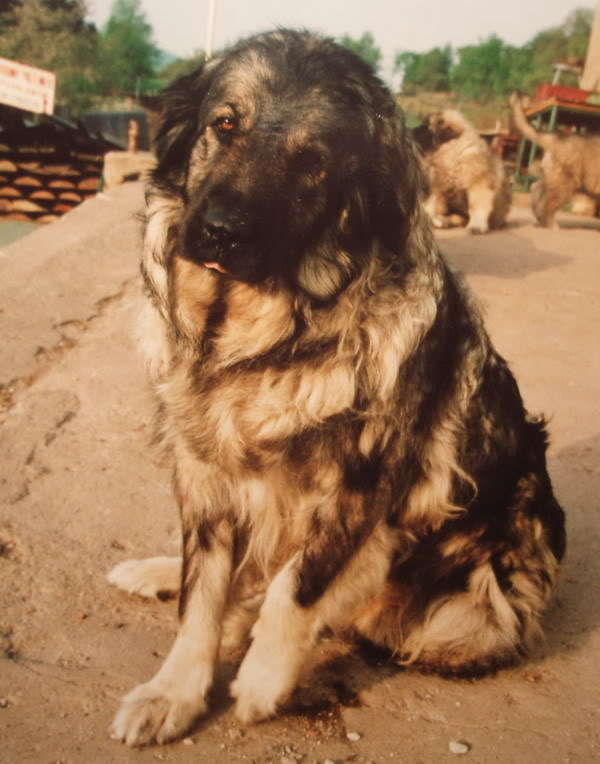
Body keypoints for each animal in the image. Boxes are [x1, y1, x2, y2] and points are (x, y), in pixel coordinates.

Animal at [109, 31, 568, 748]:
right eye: (225, 125)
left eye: (312, 163)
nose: (219, 232)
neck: (257, 341)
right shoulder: (204, 474)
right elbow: (202, 595)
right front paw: (174, 691)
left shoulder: (362, 489)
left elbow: (294, 585)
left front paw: (262, 681)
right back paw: (157, 573)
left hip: (469, 617)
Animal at [510, 92, 600, 227]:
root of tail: (554, 138)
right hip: (564, 183)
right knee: (548, 204)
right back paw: (552, 225)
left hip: (551, 178)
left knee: (536, 190)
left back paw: (540, 220)